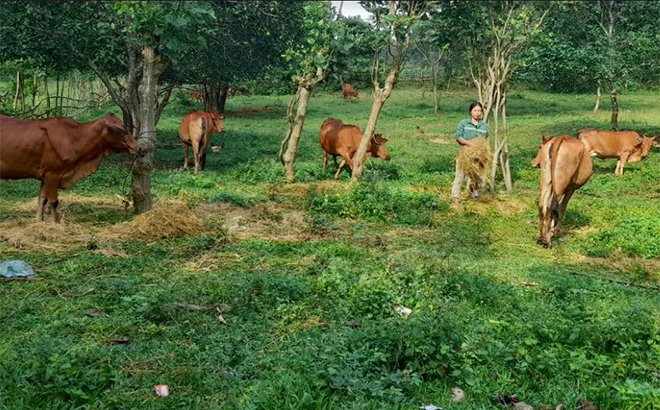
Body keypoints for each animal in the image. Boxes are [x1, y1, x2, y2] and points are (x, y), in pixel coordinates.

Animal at [0, 112, 139, 223]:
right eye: (120, 130)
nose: (137, 147)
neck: (74, 138)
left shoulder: (45, 176)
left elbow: (42, 199)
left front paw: (39, 220)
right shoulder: (52, 174)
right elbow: (53, 201)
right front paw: (55, 222)